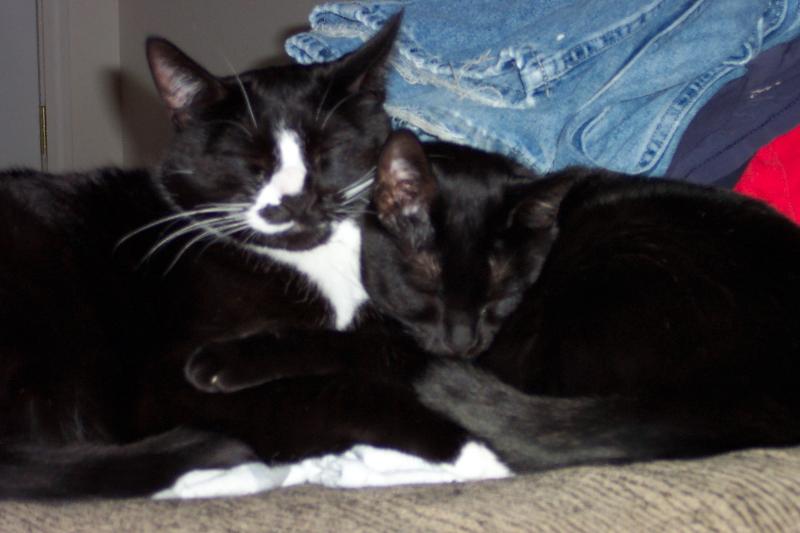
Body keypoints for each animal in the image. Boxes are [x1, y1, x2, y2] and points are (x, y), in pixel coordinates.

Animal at [0, 15, 479, 499]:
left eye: (327, 152)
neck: (314, 265)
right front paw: (466, 445)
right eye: (249, 162)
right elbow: (330, 394)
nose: (296, 201)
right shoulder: (163, 384)